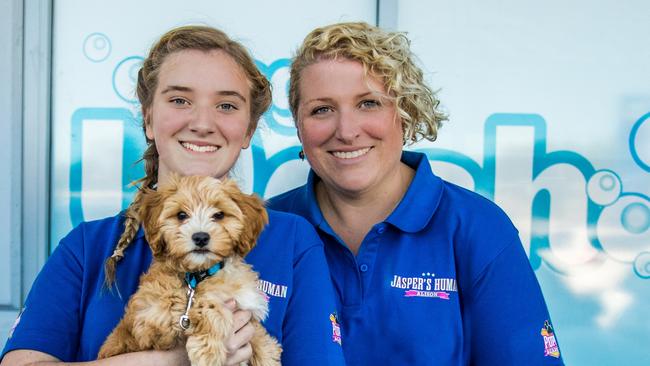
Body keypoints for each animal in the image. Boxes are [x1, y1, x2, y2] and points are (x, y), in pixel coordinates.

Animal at [97, 175, 280, 366]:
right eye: (181, 215)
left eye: (219, 215)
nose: (200, 237)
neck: (200, 274)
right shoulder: (147, 317)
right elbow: (202, 304)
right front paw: (208, 352)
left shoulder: (248, 310)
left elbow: (260, 337)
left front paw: (266, 356)